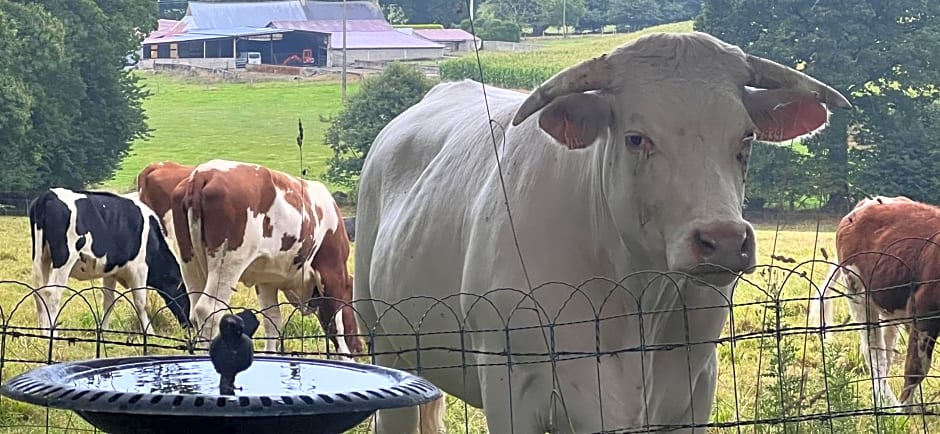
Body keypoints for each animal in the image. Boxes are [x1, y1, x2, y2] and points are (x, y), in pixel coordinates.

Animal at [29, 188, 192, 334]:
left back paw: (42, 332)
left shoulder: (110, 272)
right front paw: (149, 332)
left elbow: (108, 302)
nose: (190, 325)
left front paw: (104, 330)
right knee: (52, 294)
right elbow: (140, 303)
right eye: (188, 298)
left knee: (39, 292)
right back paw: (51, 333)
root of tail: (48, 194)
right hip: (64, 260)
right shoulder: (139, 269)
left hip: (40, 257)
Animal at [169, 159, 360, 356]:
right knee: (208, 311)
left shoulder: (266, 281)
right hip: (227, 263)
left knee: (194, 312)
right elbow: (335, 322)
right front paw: (346, 358)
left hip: (189, 262)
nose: (359, 347)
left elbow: (272, 321)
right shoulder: (332, 271)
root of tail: (203, 173)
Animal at [354, 31, 852, 434]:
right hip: (385, 346)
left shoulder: (693, 389)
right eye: (636, 138)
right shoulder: (511, 389)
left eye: (746, 136)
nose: (723, 239)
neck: (637, 297)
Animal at [808, 195, 940, 408]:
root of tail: (867, 202)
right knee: (873, 351)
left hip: (889, 307)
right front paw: (906, 412)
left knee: (886, 350)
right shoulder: (923, 310)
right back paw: (883, 401)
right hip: (858, 294)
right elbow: (915, 369)